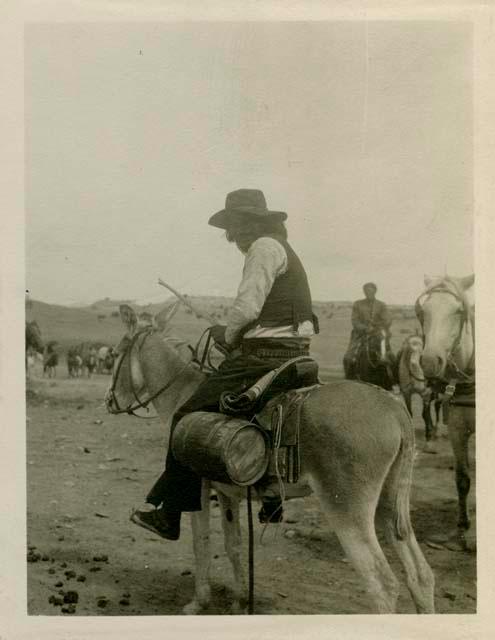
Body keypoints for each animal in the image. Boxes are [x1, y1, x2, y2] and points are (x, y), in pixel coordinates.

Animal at [105, 304, 434, 616]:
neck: (183, 390)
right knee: (421, 575)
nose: (109, 401)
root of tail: (394, 409)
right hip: (390, 505)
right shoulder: (227, 492)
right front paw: (239, 601)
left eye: (117, 353)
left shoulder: (196, 490)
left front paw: (198, 602)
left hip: (348, 511)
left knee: (383, 585)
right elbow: (234, 545)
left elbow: (202, 543)